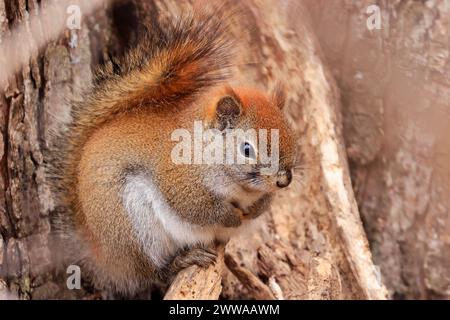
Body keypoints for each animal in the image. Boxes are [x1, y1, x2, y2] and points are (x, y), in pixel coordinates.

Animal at [47, 11, 298, 296]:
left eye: (291, 134)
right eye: (247, 149)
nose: (284, 180)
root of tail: (102, 254)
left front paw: (257, 208)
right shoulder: (177, 176)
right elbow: (196, 207)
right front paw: (230, 216)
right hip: (135, 229)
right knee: (151, 272)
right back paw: (184, 259)